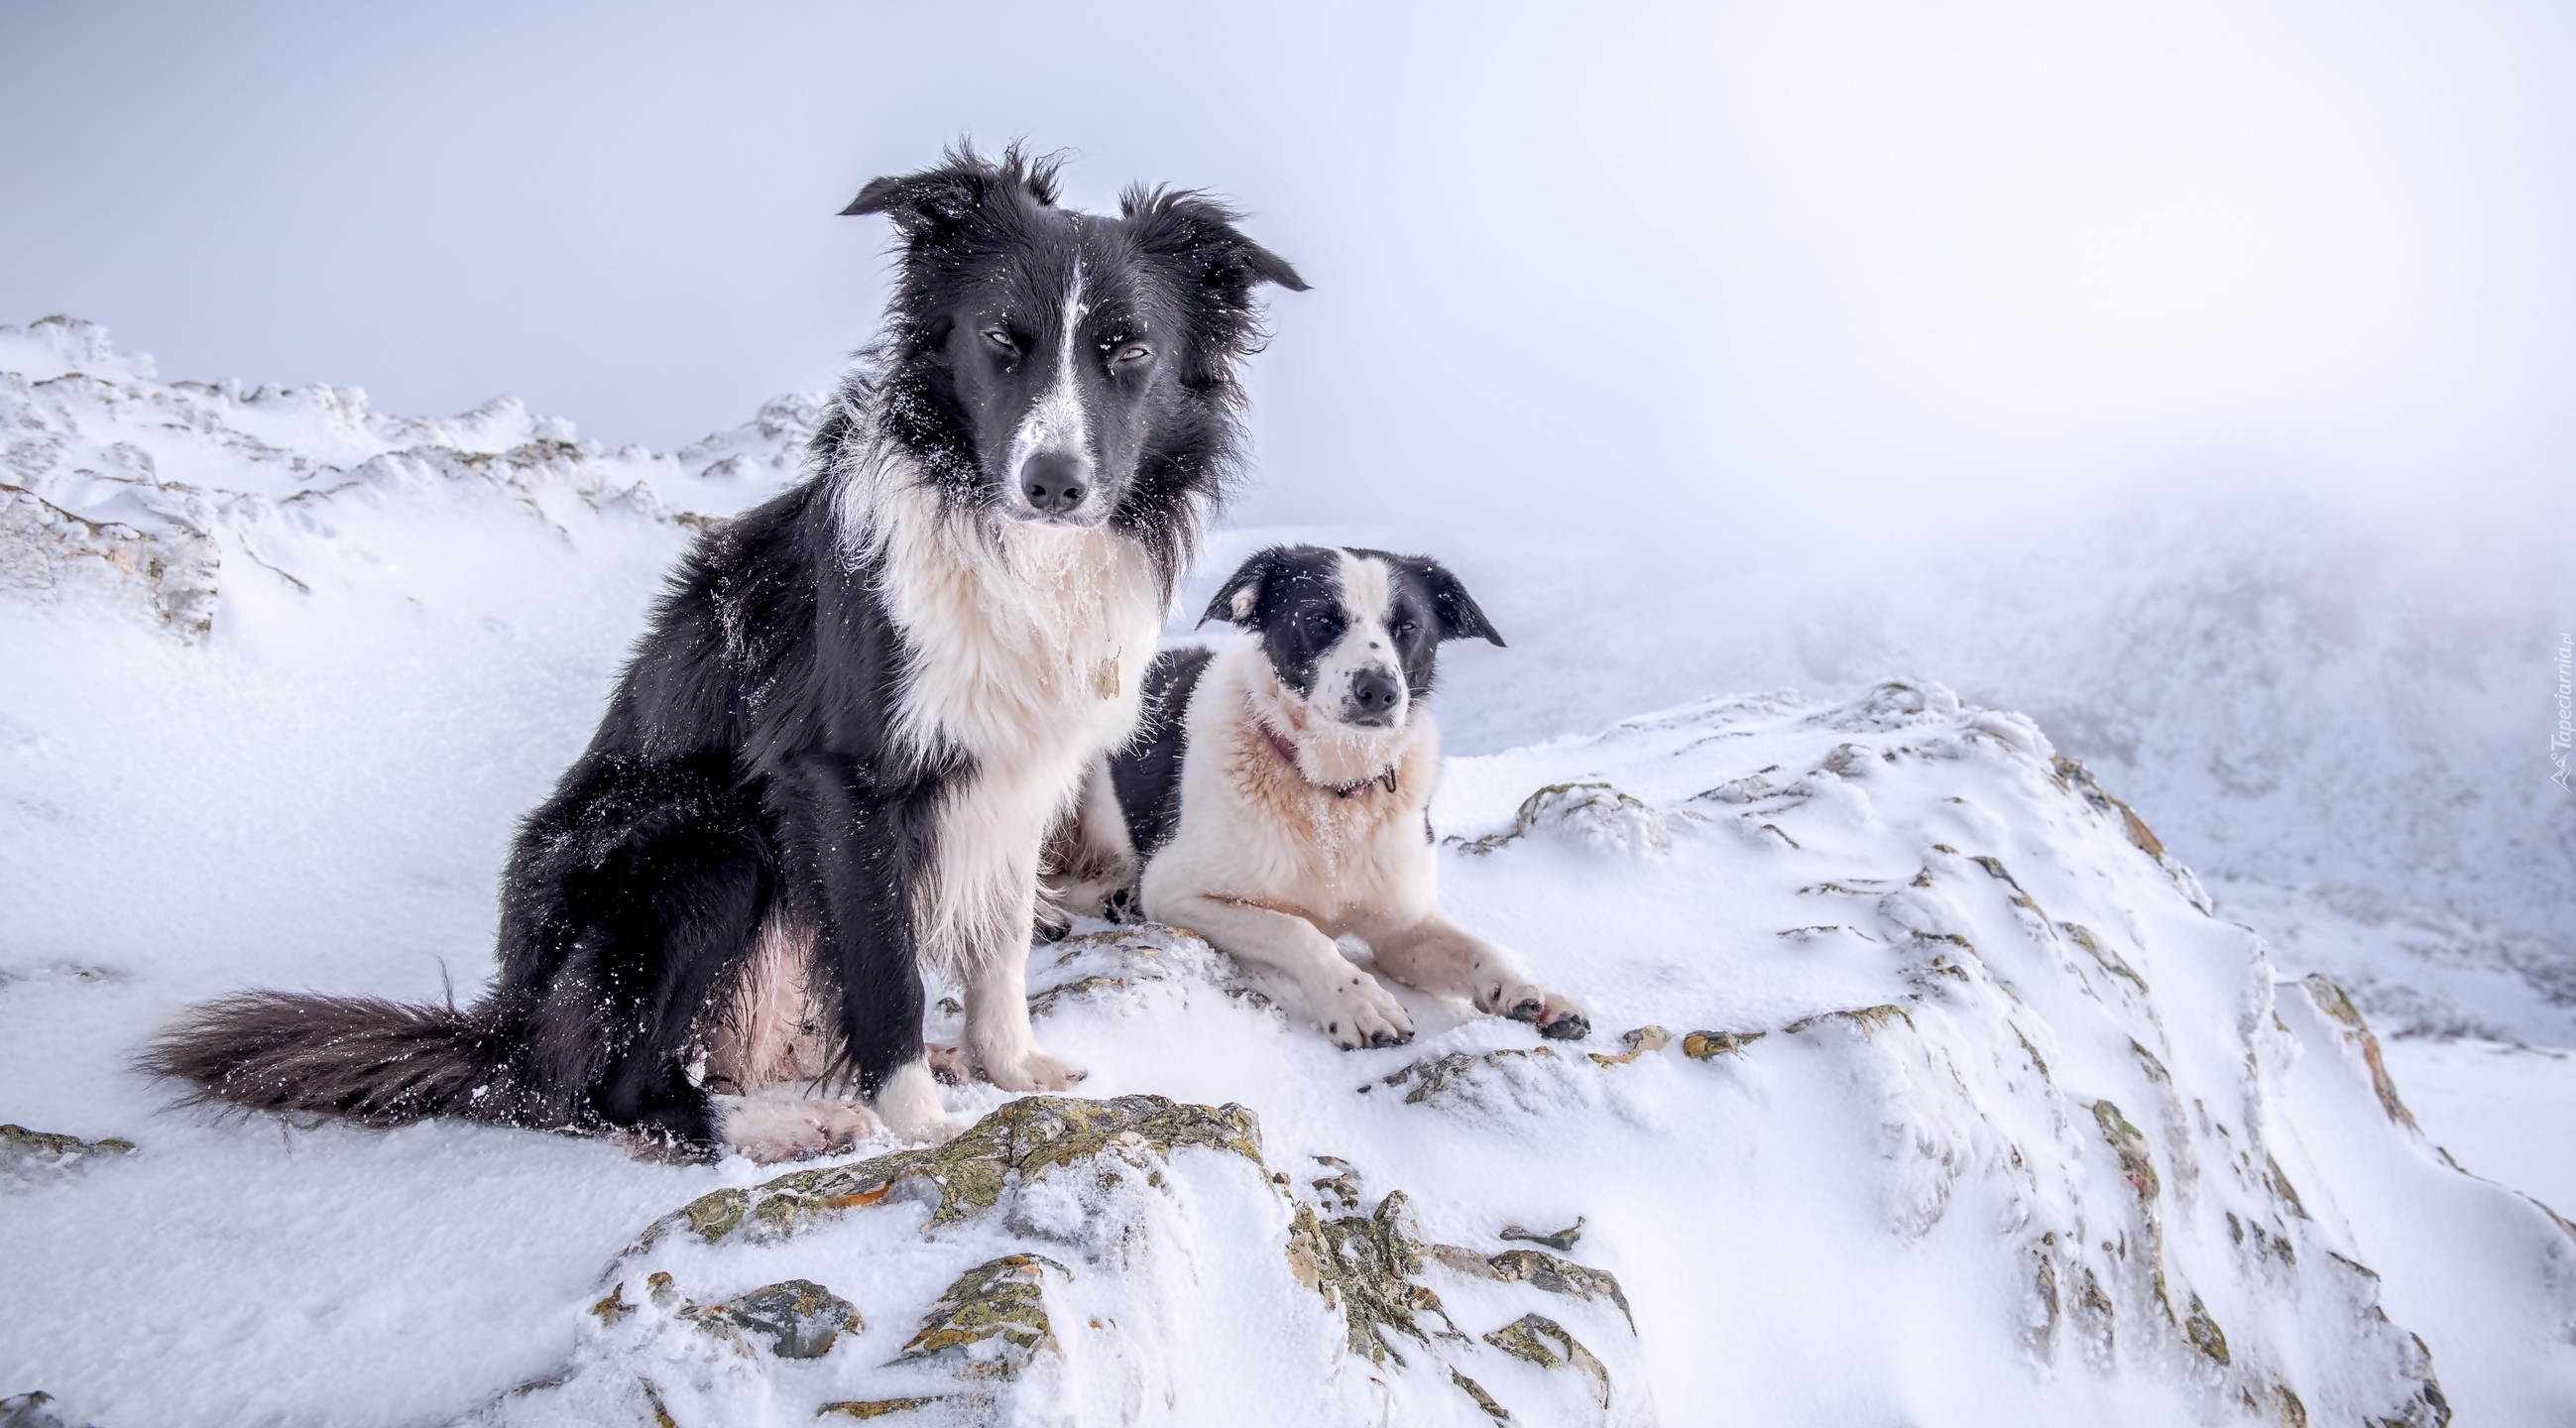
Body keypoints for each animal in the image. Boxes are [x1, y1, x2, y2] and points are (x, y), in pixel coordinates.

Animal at [146, 144, 1308, 1154]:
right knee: (601, 1095)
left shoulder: (1022, 766)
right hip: (702, 839)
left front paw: (1007, 1067)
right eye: (1001, 338)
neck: (1016, 550)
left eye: (1130, 350)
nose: (1055, 484)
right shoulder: (840, 777)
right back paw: (781, 1125)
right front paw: (921, 1125)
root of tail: (501, 1032)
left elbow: (999, 943)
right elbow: (885, 969)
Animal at [1045, 543, 1586, 1046]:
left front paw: (1530, 994)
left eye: (1408, 627)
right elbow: (1294, 930)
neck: (1331, 790)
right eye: (1321, 619)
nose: (1379, 690)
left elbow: (1479, 950)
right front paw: (1357, 1001)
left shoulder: (1403, 924)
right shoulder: (1174, 890)